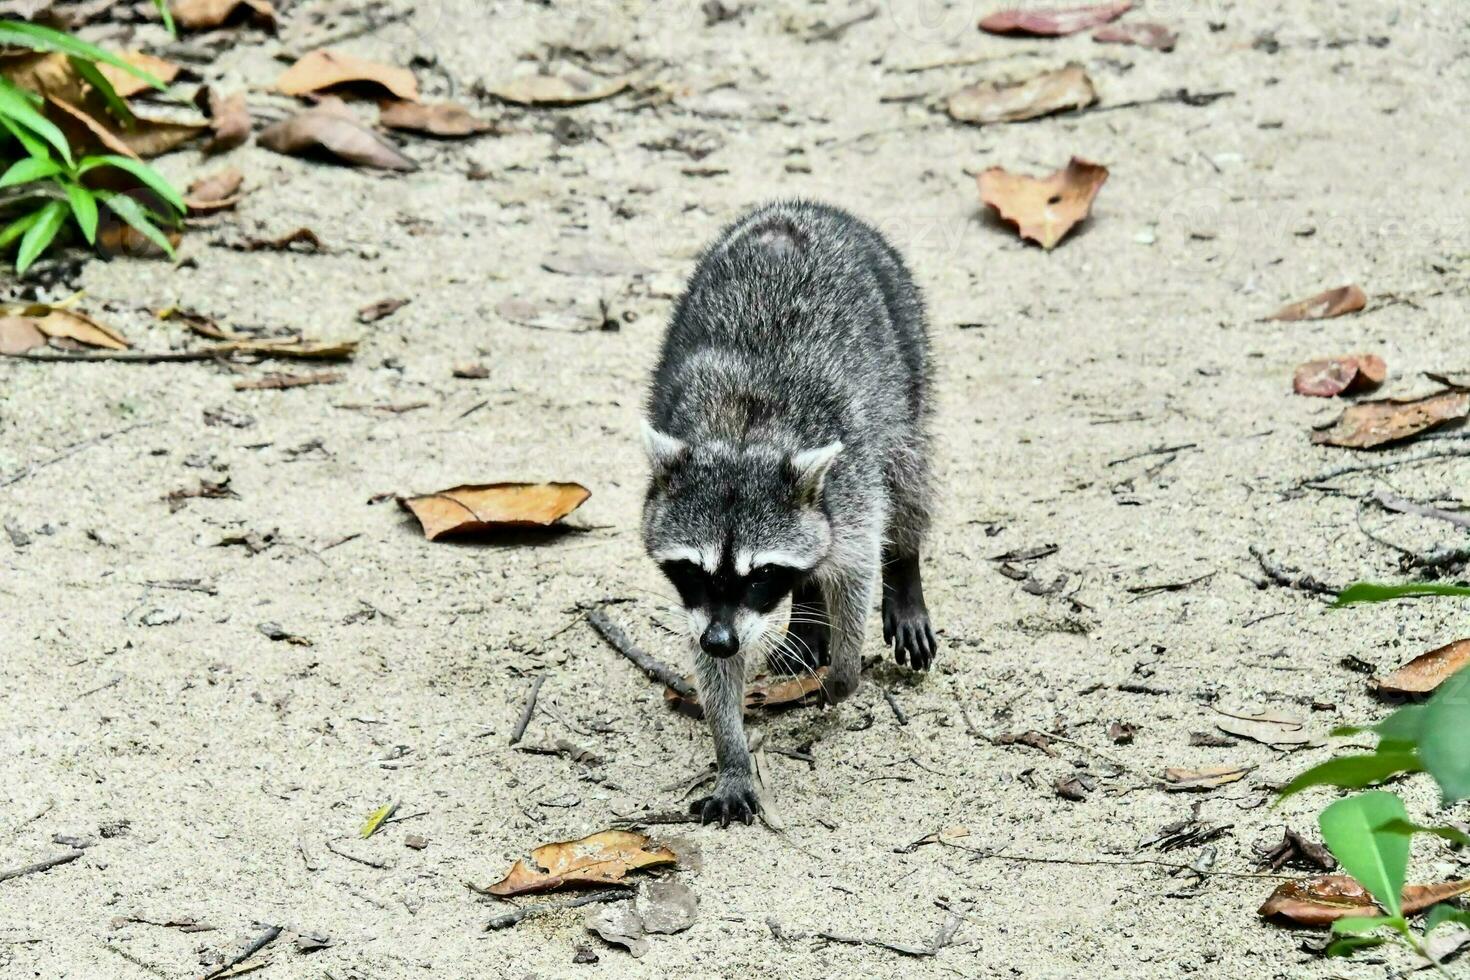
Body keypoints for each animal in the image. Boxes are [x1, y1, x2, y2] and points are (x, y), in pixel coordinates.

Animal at [637, 201, 934, 828]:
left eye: (763, 574)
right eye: (692, 570)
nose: (721, 642)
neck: (741, 435)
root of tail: (802, 206)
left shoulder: (851, 485)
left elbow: (855, 567)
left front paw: (843, 671)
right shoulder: (706, 610)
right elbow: (714, 668)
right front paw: (732, 754)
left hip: (907, 341)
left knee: (911, 474)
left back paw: (904, 569)